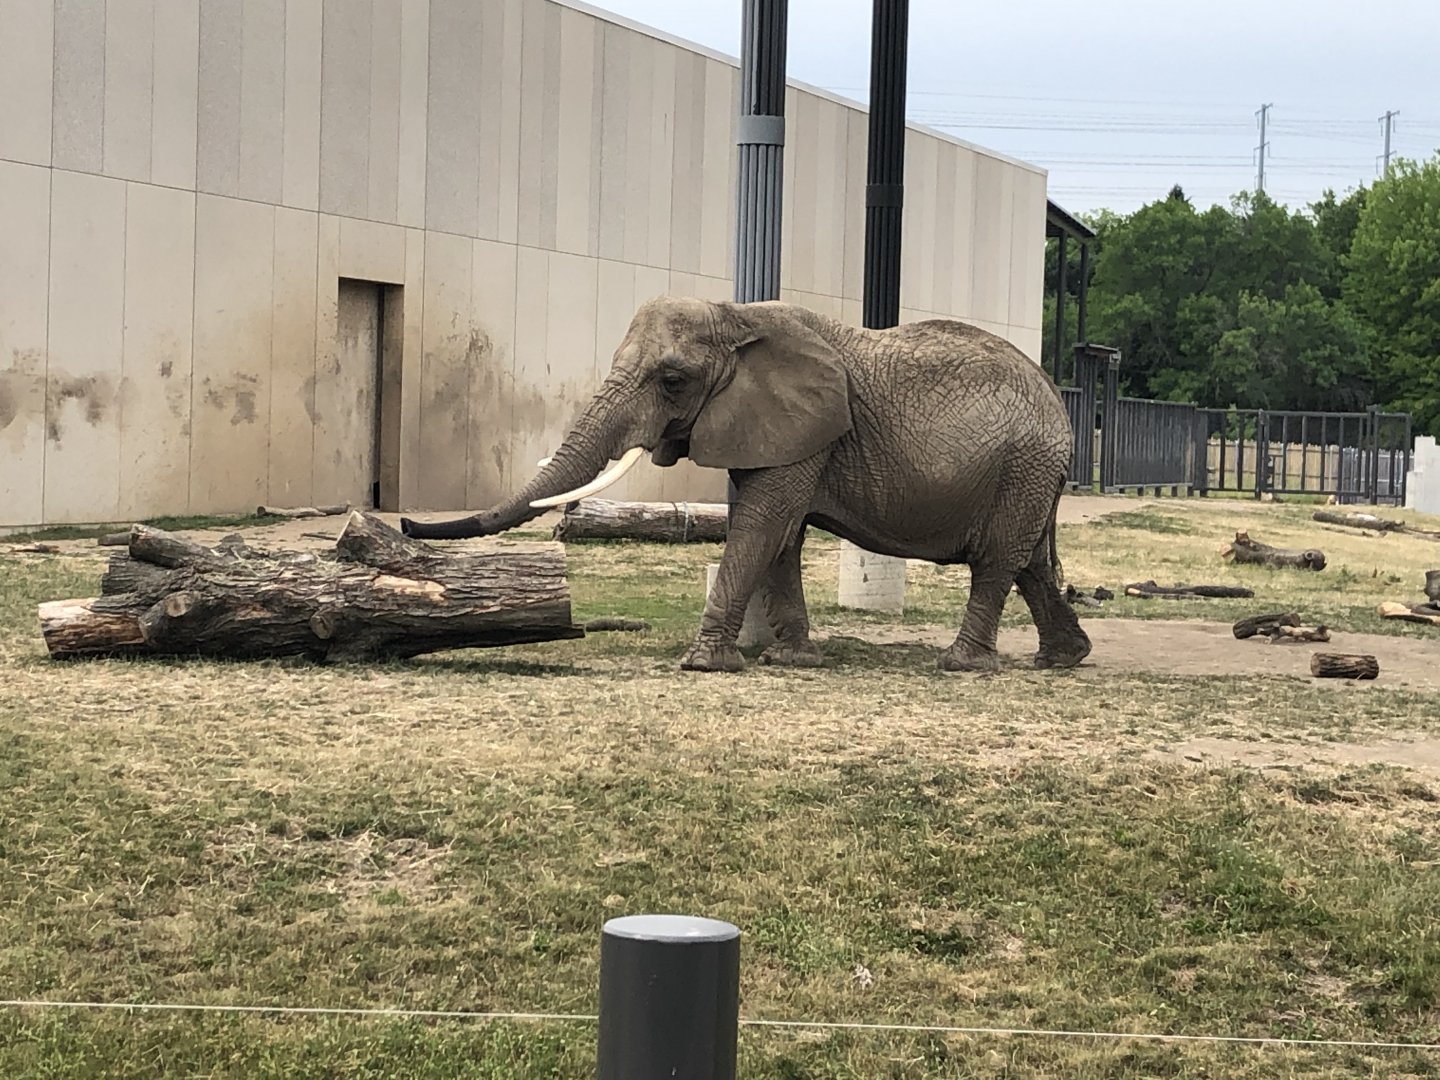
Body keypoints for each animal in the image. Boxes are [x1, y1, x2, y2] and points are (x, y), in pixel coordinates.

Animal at [400, 297, 1092, 674]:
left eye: (672, 381)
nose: (406, 522)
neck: (735, 316)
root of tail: (1058, 403)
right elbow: (777, 535)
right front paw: (794, 661)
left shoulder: (806, 429)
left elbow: (764, 523)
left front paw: (704, 665)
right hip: (1028, 474)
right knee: (1030, 562)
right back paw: (1063, 659)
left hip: (1023, 466)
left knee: (997, 560)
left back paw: (961, 666)